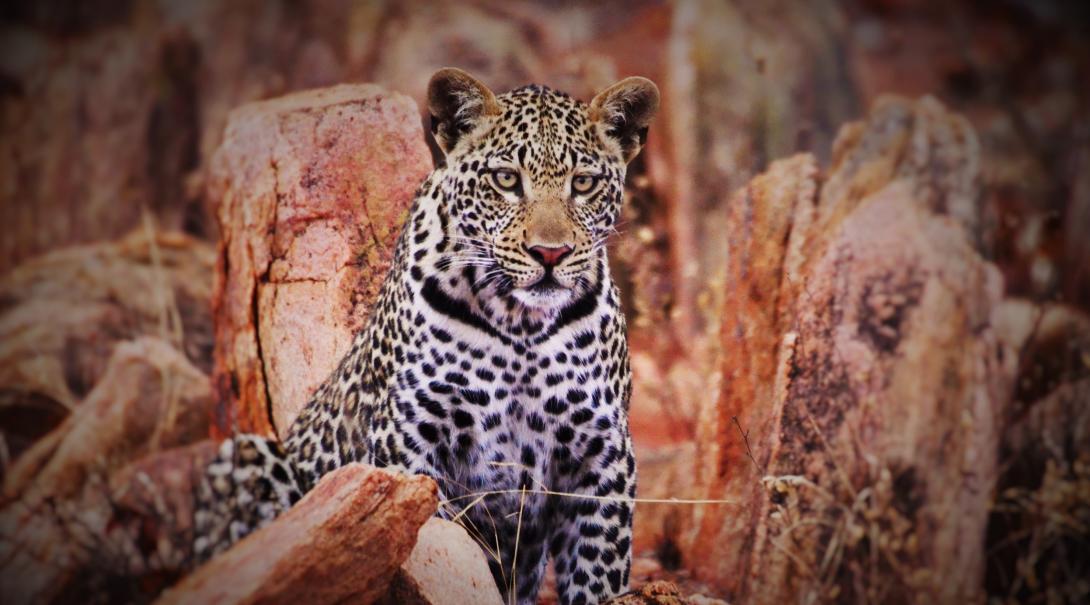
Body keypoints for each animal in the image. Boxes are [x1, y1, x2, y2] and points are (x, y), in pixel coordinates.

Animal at [194, 67, 659, 605]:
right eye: (506, 180)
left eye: (583, 184)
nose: (550, 253)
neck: (520, 323)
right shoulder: (412, 446)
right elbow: (439, 546)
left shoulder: (601, 455)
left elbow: (598, 573)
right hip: (246, 455)